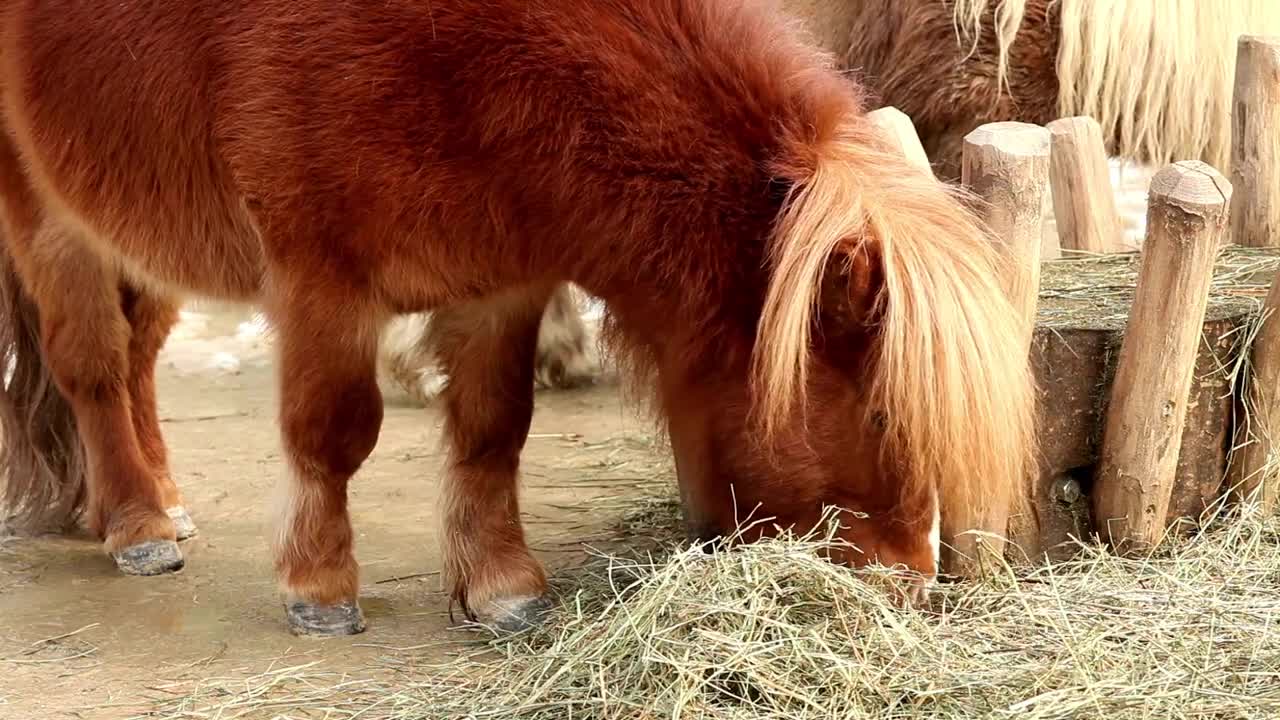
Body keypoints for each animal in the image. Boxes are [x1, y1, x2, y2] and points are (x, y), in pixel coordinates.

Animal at [0, 0, 1034, 632]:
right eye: (882, 415)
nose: (909, 587)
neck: (463, 58)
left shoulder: (498, 290)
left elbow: (496, 432)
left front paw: (501, 589)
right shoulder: (322, 285)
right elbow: (333, 434)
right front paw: (320, 588)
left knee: (137, 361)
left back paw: (161, 501)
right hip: (48, 218)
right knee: (93, 368)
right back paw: (137, 525)